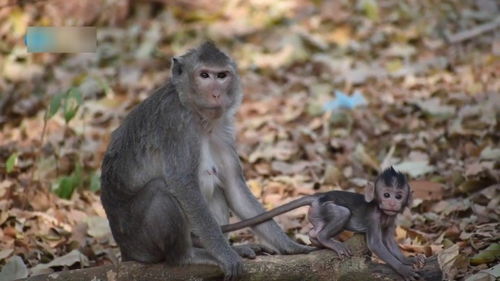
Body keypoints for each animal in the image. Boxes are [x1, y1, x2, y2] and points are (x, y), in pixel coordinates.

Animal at [100, 40, 312, 278]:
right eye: (204, 75)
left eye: (221, 75)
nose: (216, 94)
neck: (199, 117)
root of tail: (125, 251)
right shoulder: (176, 123)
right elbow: (183, 184)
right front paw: (225, 255)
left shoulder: (222, 130)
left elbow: (233, 186)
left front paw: (289, 245)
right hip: (139, 241)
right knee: (160, 191)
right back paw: (189, 256)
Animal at [223, 167, 422, 278]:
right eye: (386, 194)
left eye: (398, 196)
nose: (392, 203)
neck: (382, 212)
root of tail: (318, 196)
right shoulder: (373, 218)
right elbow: (376, 244)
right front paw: (403, 269)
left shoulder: (391, 218)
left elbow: (389, 241)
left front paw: (408, 260)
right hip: (324, 208)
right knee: (342, 213)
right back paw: (326, 240)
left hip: (317, 214)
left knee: (314, 231)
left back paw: (317, 241)